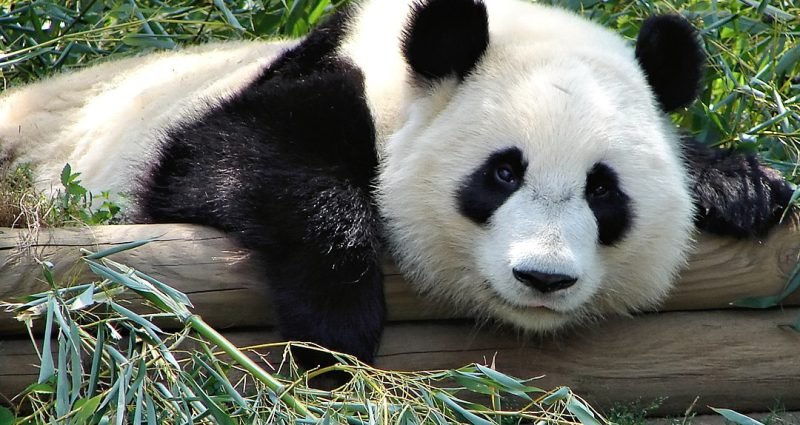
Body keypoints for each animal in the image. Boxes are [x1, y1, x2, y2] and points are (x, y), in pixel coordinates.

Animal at [1, 0, 792, 366]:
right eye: (502, 172)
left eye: (604, 191)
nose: (543, 277)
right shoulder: (293, 89)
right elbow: (228, 161)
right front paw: (337, 327)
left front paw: (743, 187)